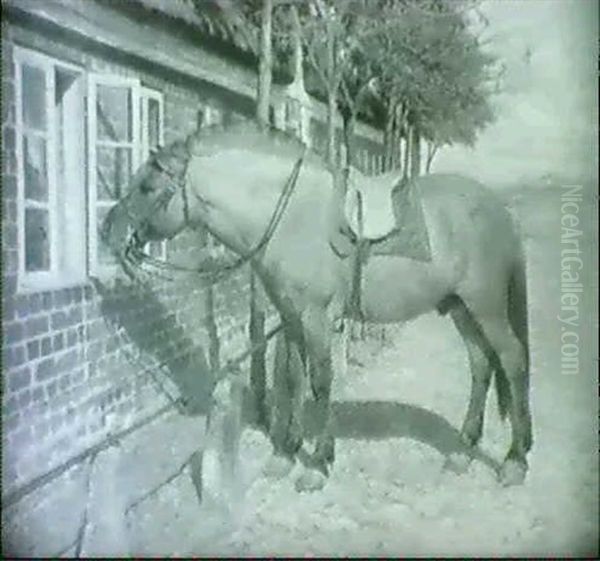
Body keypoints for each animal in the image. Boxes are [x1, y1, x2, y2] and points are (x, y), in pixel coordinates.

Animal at [101, 121, 532, 492]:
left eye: (147, 185)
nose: (108, 231)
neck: (288, 215)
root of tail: (499, 210)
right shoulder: (291, 316)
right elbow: (291, 377)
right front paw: (285, 453)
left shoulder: (315, 317)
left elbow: (320, 381)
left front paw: (319, 463)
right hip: (460, 307)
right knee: (481, 365)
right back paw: (463, 452)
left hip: (485, 306)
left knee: (512, 360)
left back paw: (515, 460)